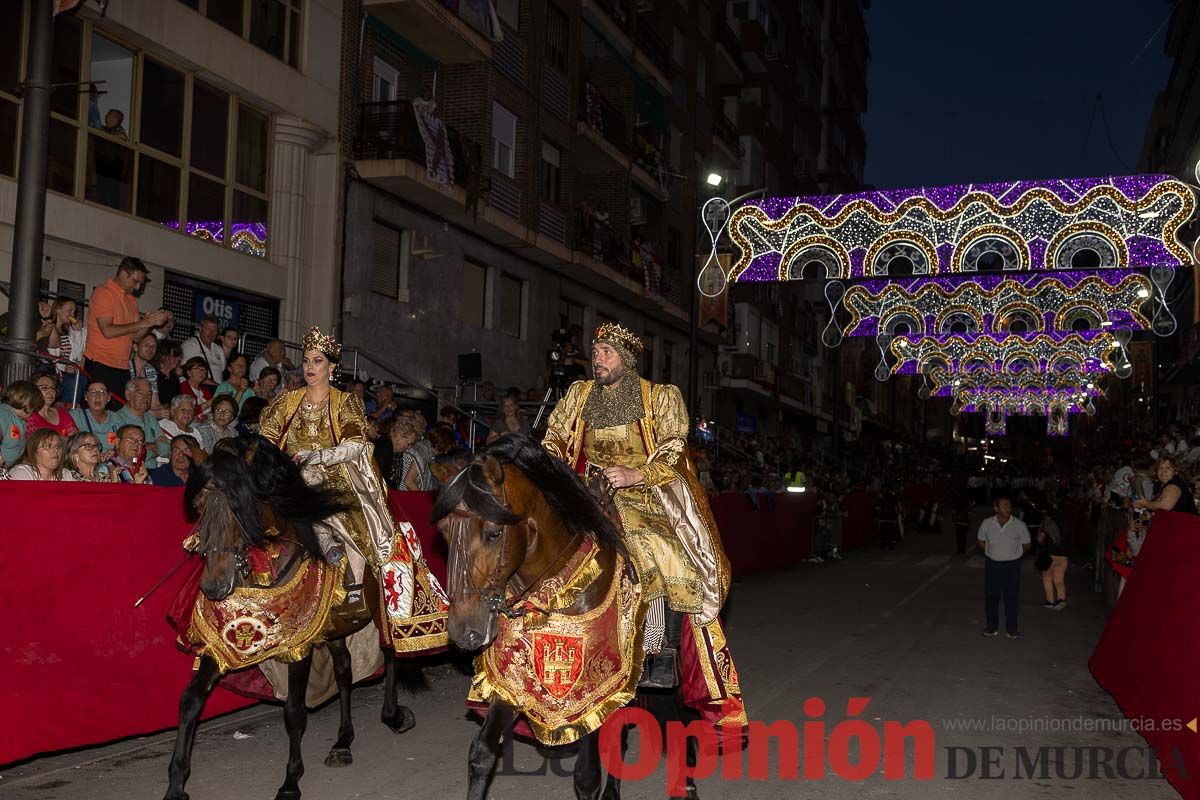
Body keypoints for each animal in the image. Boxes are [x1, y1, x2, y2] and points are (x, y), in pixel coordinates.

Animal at [164, 438, 417, 800]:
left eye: (240, 508)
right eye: (198, 506)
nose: (214, 586)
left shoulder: (300, 646)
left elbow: (295, 712)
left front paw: (290, 782)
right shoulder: (221, 644)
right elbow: (190, 701)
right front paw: (176, 784)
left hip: (383, 616)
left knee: (392, 657)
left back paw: (394, 716)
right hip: (336, 630)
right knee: (344, 672)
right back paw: (343, 742)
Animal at [432, 434, 700, 800]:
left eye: (493, 533)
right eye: (445, 531)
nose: (463, 631)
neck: (559, 592)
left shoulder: (594, 691)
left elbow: (586, 775)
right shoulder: (515, 682)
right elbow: (482, 753)